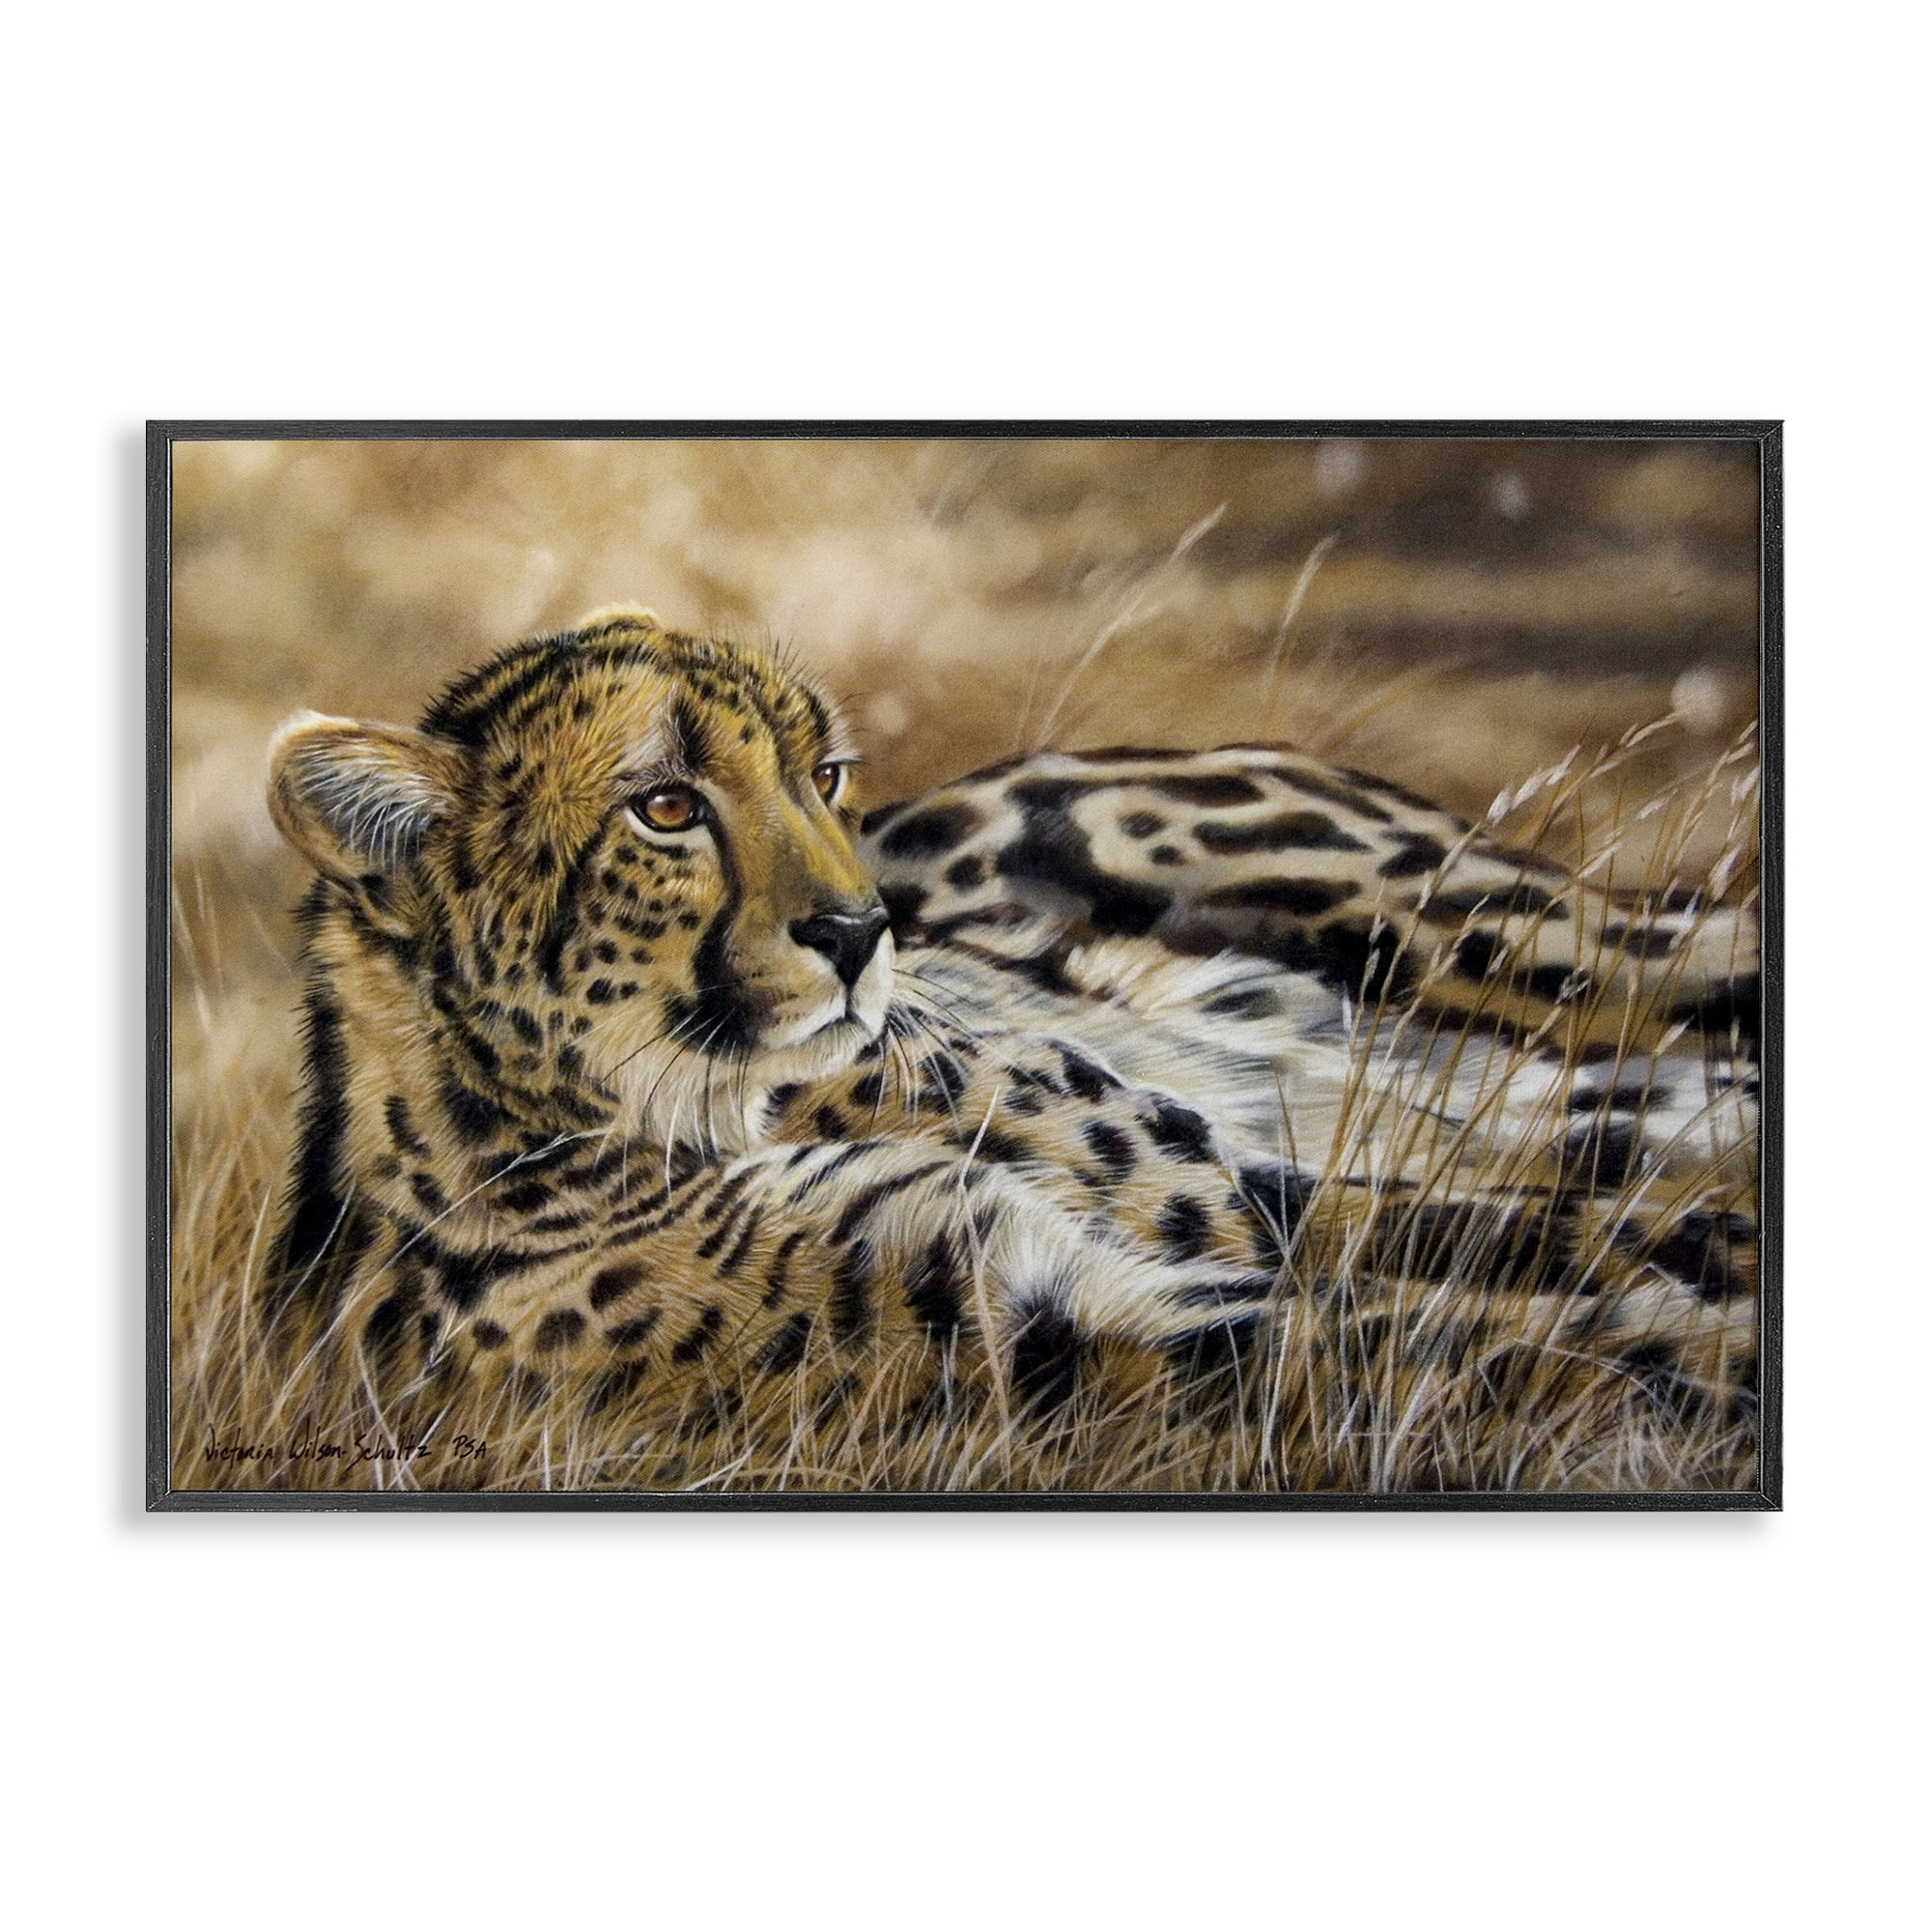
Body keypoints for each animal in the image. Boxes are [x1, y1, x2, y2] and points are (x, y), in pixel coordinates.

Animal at [260, 604, 1760, 1490]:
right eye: (666, 806)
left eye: (824, 776)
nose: (862, 928)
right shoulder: (1057, 1323)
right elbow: (1475, 1329)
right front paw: (1710, 1354)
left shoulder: (1215, 1199)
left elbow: (1534, 1245)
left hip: (1498, 933)